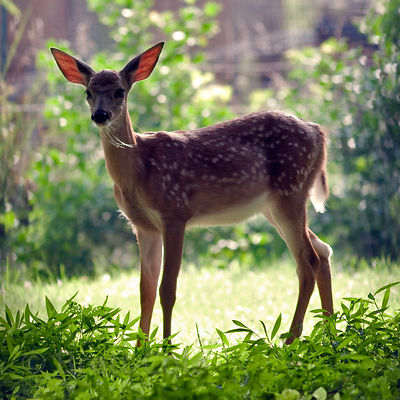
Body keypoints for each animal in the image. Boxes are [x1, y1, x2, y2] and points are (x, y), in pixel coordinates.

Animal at [50, 42, 333, 344]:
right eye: (88, 92)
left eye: (119, 91)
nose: (100, 115)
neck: (139, 169)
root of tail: (318, 131)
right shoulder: (143, 226)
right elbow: (145, 290)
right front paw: (140, 349)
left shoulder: (174, 212)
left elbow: (167, 289)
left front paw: (166, 348)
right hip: (273, 205)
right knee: (322, 250)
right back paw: (331, 335)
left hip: (290, 191)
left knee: (308, 260)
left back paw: (290, 341)